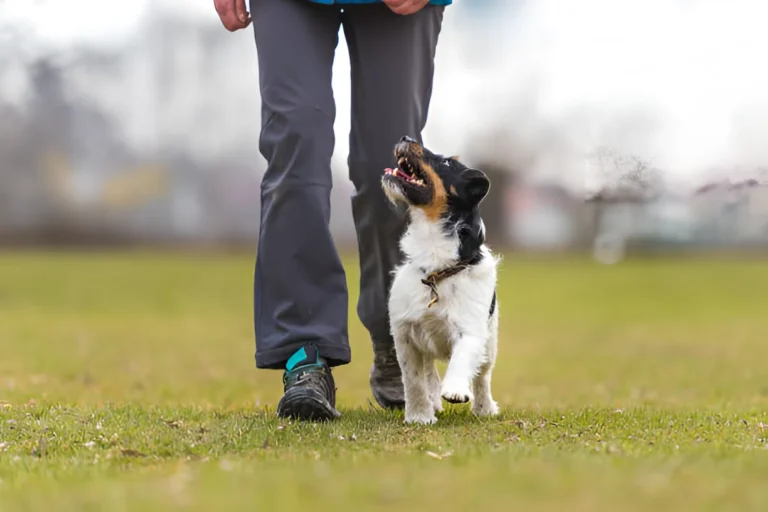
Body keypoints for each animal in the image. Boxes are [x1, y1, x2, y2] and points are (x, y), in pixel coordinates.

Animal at [380, 135, 500, 424]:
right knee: (429, 372)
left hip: (490, 341)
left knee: (483, 376)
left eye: (446, 163)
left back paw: (484, 408)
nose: (405, 137)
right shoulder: (405, 335)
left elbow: (462, 359)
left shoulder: (471, 329)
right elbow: (413, 380)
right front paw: (419, 416)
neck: (437, 269)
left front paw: (455, 390)